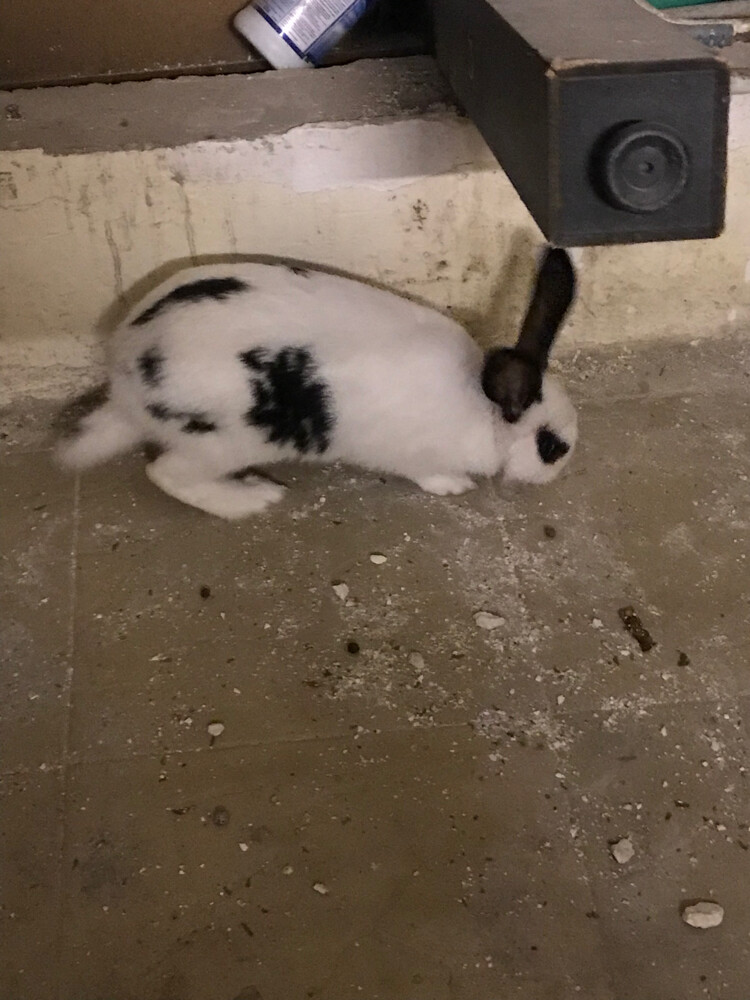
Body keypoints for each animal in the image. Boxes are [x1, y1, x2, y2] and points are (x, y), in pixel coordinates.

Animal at [55, 247, 578, 520]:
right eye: (551, 447)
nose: (557, 473)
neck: (481, 407)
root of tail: (125, 385)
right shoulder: (417, 455)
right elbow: (429, 475)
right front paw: (455, 487)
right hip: (223, 442)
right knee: (166, 475)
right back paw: (253, 498)